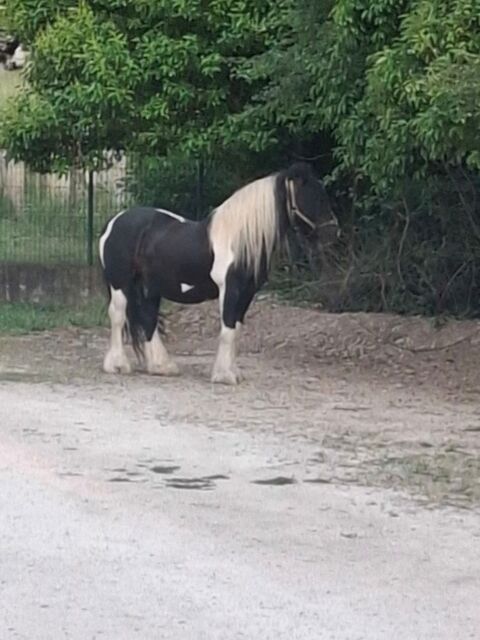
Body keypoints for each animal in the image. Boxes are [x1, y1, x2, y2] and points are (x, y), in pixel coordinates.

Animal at [98, 162, 339, 385]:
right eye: (314, 197)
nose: (333, 233)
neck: (239, 240)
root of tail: (112, 223)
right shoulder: (230, 290)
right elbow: (227, 330)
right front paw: (224, 376)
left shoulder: (247, 293)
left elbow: (236, 331)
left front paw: (233, 372)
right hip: (120, 284)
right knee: (118, 316)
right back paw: (117, 365)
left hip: (151, 287)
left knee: (148, 318)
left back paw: (161, 366)